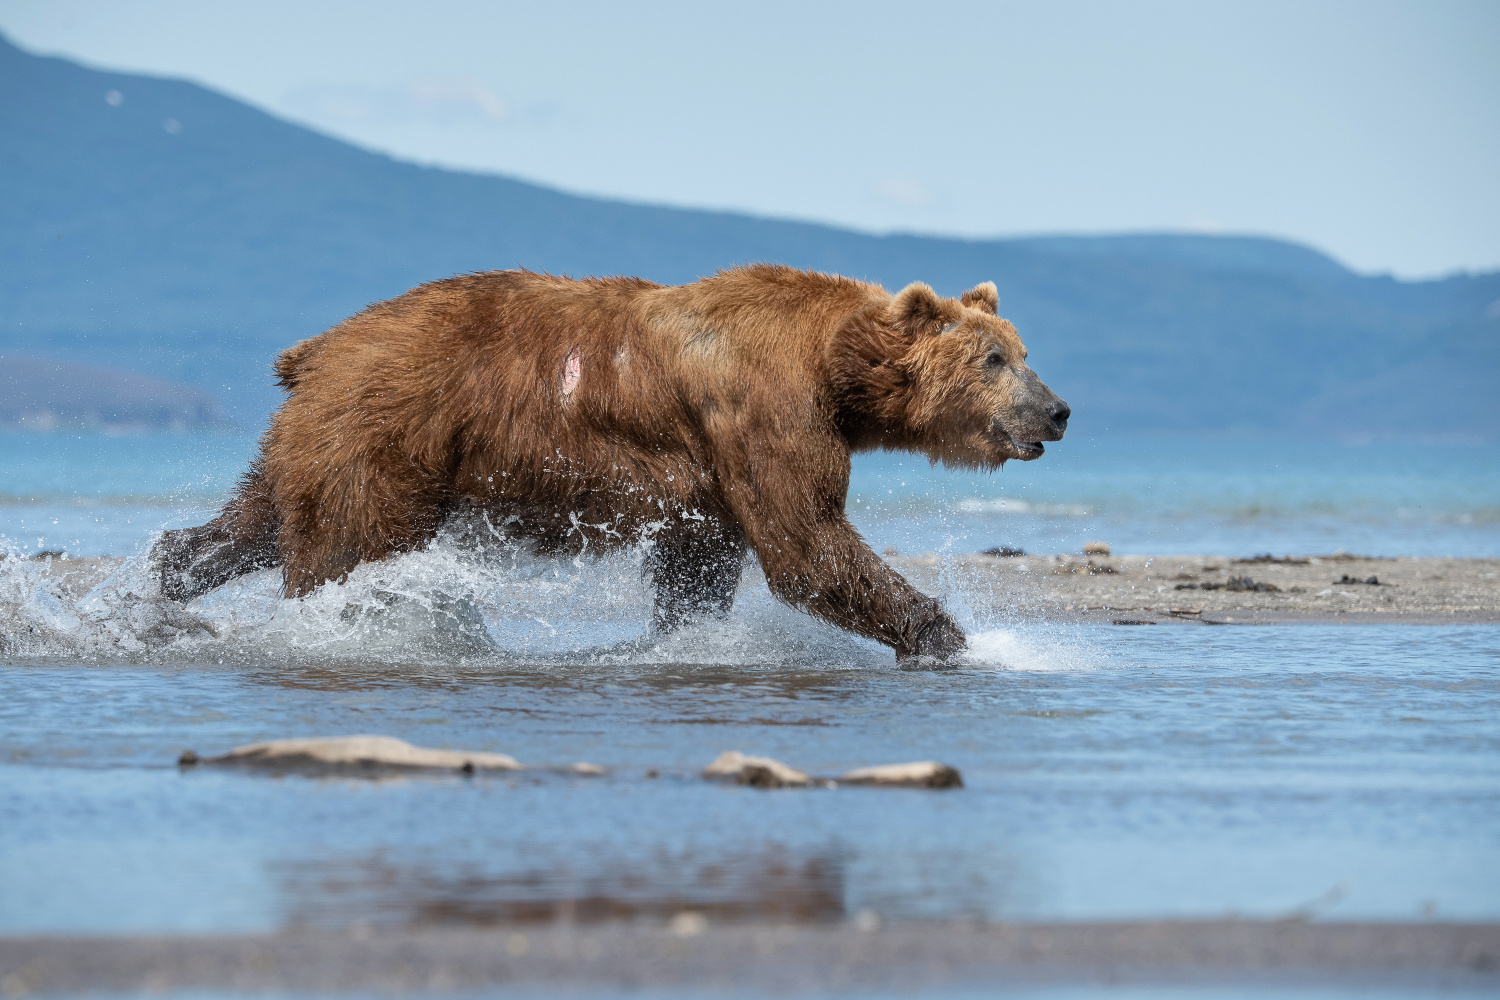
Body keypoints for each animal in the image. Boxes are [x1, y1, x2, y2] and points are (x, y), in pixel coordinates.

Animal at [155, 265, 1068, 659]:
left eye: (1022, 351)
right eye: (994, 359)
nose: (1057, 410)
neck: (836, 369)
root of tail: (314, 351)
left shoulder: (713, 477)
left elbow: (700, 562)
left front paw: (678, 635)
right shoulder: (766, 413)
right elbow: (809, 545)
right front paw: (953, 635)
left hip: (312, 436)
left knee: (254, 520)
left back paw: (166, 583)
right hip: (381, 437)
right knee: (343, 547)